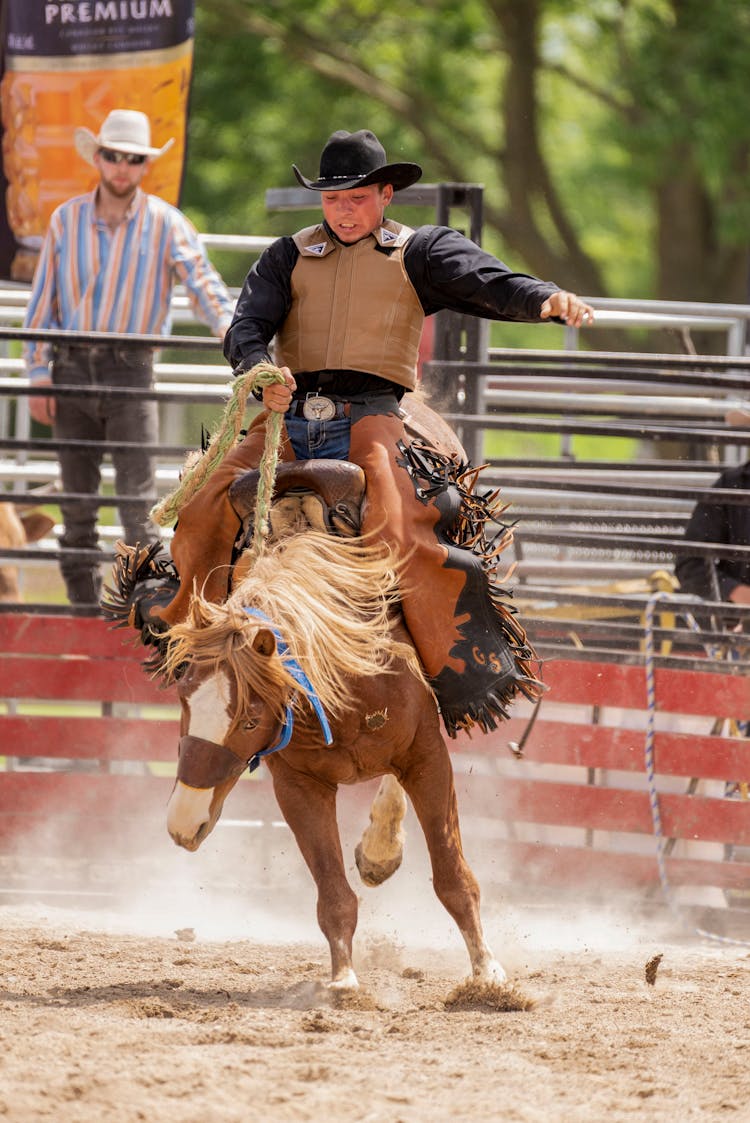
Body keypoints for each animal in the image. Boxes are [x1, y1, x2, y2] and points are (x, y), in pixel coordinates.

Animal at [160, 530, 507, 988]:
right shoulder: (299, 786)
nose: (184, 822)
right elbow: (333, 895)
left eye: (250, 720)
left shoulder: (427, 759)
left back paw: (381, 847)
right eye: (183, 699)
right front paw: (343, 979)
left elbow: (454, 877)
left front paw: (486, 970)